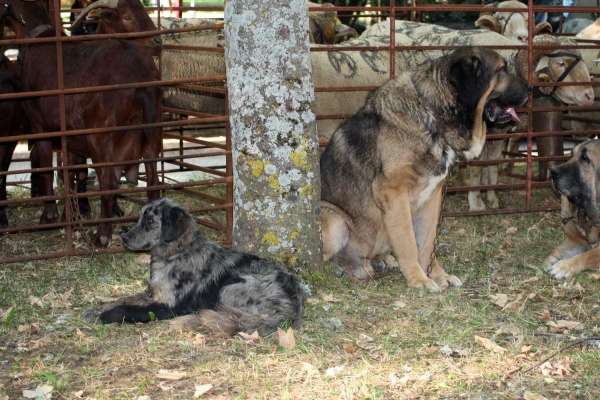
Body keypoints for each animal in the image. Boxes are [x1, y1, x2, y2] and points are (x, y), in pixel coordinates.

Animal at [2, 0, 162, 247]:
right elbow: (69, 173)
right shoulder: (70, 137)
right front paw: (70, 215)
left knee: (107, 182)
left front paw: (49, 217)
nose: (158, 42)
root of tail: (142, 76)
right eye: (127, 16)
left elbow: (48, 169)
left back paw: (101, 236)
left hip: (100, 136)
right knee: (153, 181)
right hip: (151, 131)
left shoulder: (41, 127)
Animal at [82, 198, 308, 336]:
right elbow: (123, 299)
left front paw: (104, 316)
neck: (177, 252)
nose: (124, 238)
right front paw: (96, 310)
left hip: (231, 287)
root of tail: (292, 307)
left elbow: (128, 309)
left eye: (150, 220)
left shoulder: (170, 306)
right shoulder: (152, 294)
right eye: (140, 218)